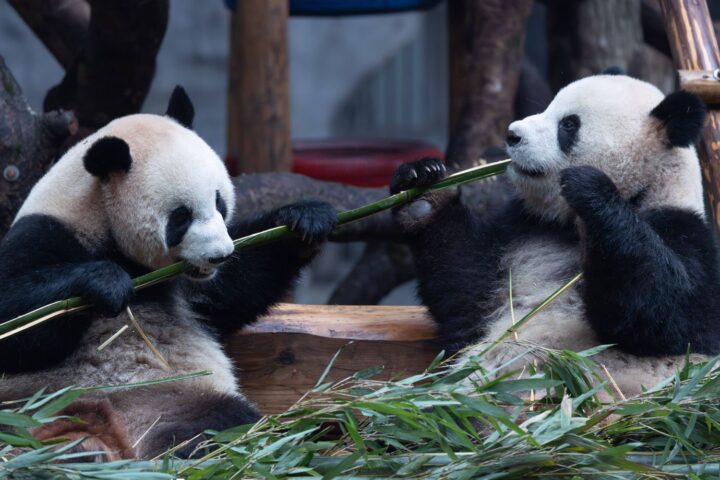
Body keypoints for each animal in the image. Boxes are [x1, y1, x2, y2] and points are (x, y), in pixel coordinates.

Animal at [0, 86, 338, 458]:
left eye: (219, 203)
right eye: (181, 217)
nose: (220, 255)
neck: (99, 215)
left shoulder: (188, 284)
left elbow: (237, 286)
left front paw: (304, 220)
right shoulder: (47, 233)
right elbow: (18, 323)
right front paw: (103, 282)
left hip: (173, 400)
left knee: (215, 425)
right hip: (33, 409)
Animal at [390, 72, 720, 396]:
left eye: (568, 125)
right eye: (549, 107)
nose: (513, 135)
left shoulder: (687, 233)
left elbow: (668, 318)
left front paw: (590, 189)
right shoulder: (522, 233)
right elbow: (467, 292)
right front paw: (423, 191)